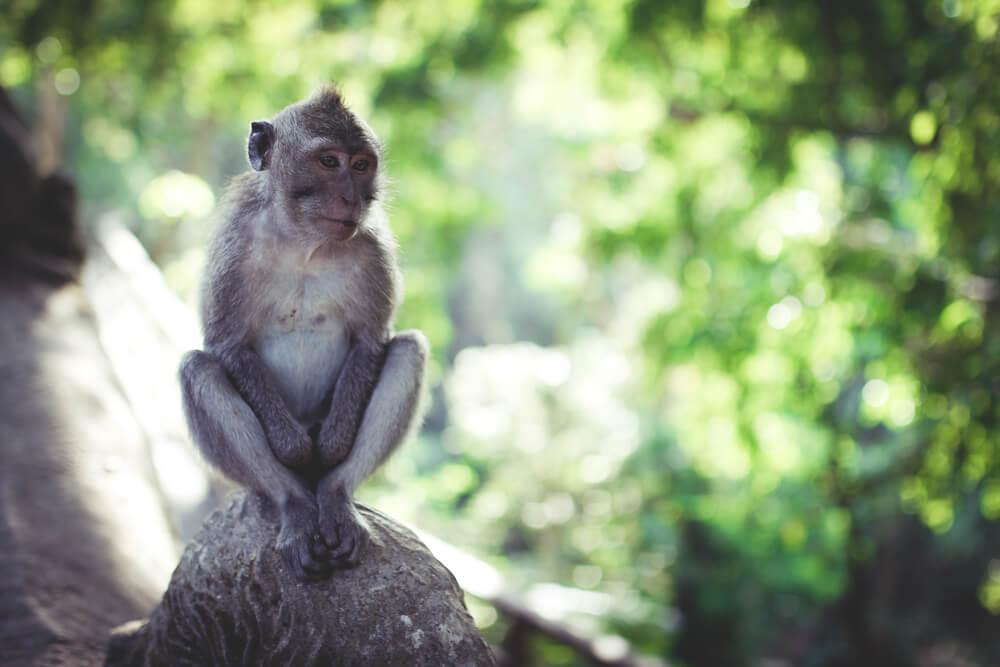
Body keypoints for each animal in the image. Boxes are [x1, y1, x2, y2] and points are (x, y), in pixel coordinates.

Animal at [179, 87, 428, 579]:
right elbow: (227, 344)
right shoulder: (233, 245)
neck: (304, 242)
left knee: (408, 351)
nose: (352, 197)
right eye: (329, 161)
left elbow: (371, 338)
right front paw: (293, 448)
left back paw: (334, 493)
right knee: (198, 369)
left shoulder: (372, 248)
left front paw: (330, 447)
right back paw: (293, 503)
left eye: (361, 164)